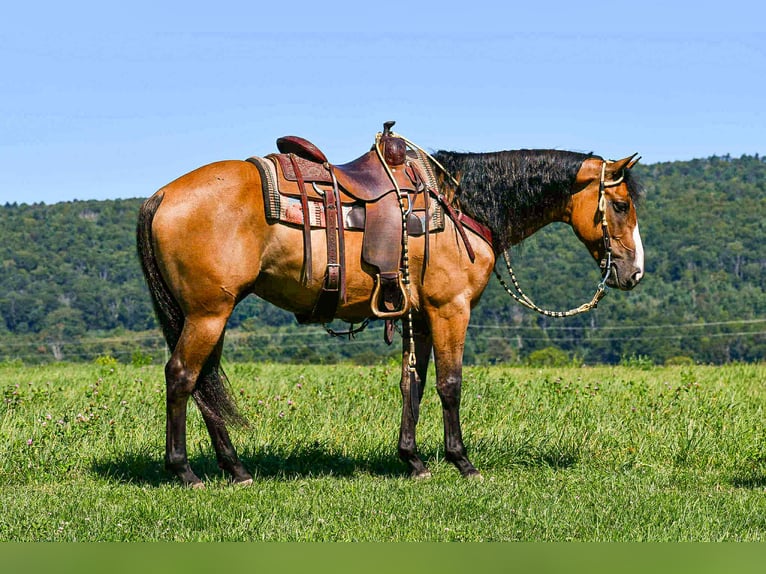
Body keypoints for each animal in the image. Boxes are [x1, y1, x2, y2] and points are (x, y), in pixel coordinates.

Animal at [136, 133, 644, 487]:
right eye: (620, 205)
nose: (634, 272)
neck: (462, 205)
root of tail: (162, 195)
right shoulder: (450, 309)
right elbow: (449, 384)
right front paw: (462, 462)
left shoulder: (417, 314)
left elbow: (411, 385)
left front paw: (413, 460)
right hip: (207, 314)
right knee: (182, 377)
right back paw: (185, 472)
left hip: (210, 315)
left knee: (204, 383)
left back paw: (235, 469)